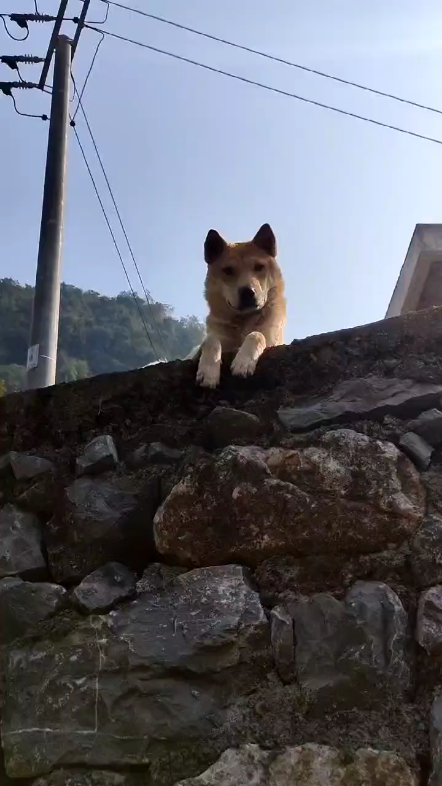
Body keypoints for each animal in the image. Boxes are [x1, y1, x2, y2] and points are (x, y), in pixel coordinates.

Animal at [196, 223, 286, 388]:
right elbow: (210, 340)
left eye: (259, 267)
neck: (243, 321)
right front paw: (208, 372)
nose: (248, 292)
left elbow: (257, 334)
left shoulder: (272, 339)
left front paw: (244, 362)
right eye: (228, 270)